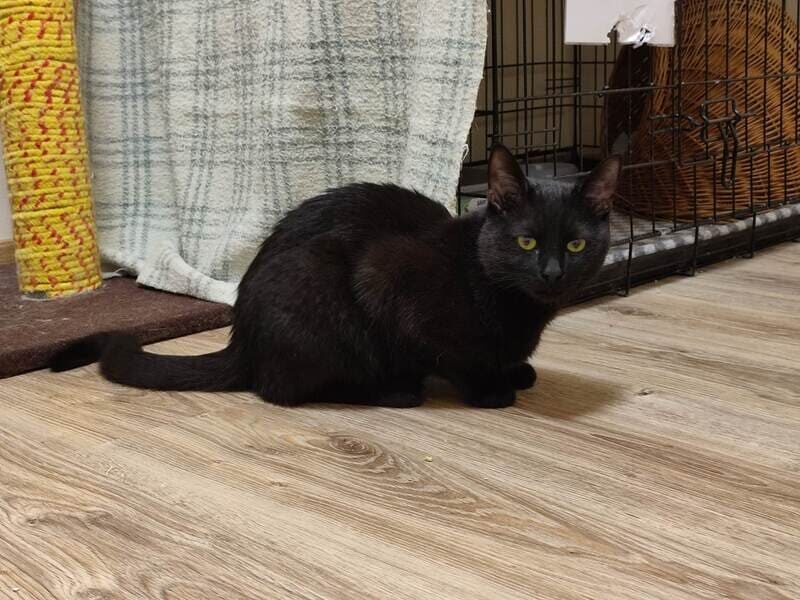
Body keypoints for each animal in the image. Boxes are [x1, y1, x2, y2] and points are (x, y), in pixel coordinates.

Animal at [51, 144, 620, 409]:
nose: (551, 272)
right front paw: (490, 388)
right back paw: (394, 390)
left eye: (576, 244)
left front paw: (515, 370)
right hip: (320, 292)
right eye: (526, 242)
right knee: (284, 388)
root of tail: (244, 341)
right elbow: (452, 355)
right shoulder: (388, 280)